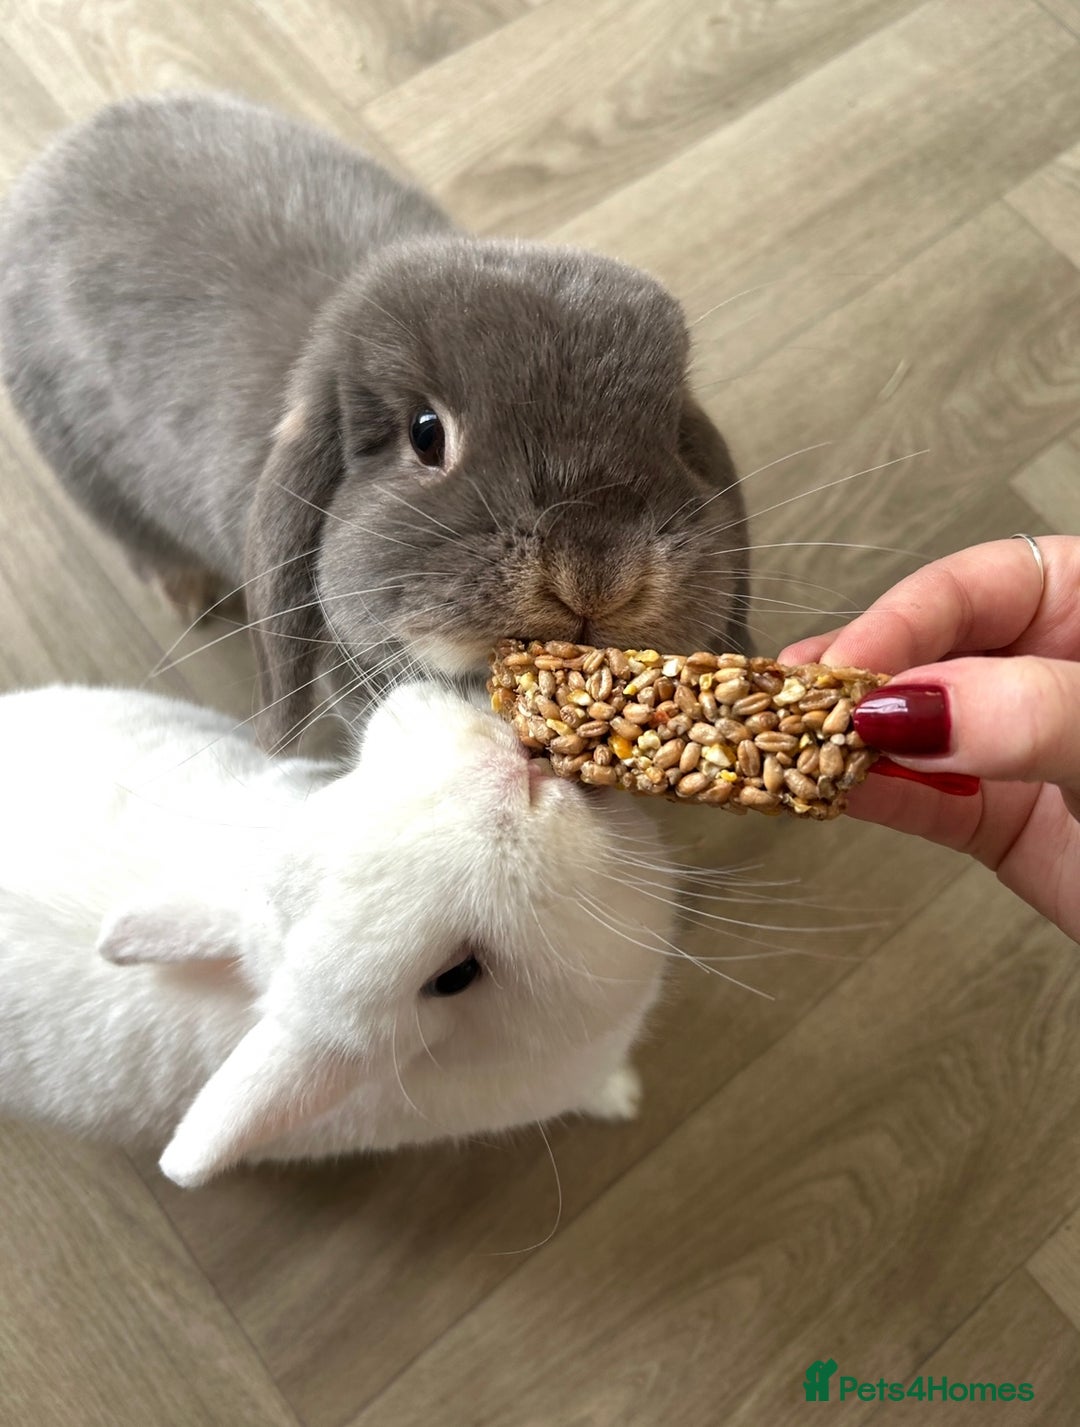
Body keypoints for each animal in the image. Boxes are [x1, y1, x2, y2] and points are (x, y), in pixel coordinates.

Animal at [0, 91, 749, 750]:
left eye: (674, 437)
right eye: (426, 434)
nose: (596, 576)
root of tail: (54, 164)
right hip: (85, 469)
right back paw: (196, 598)